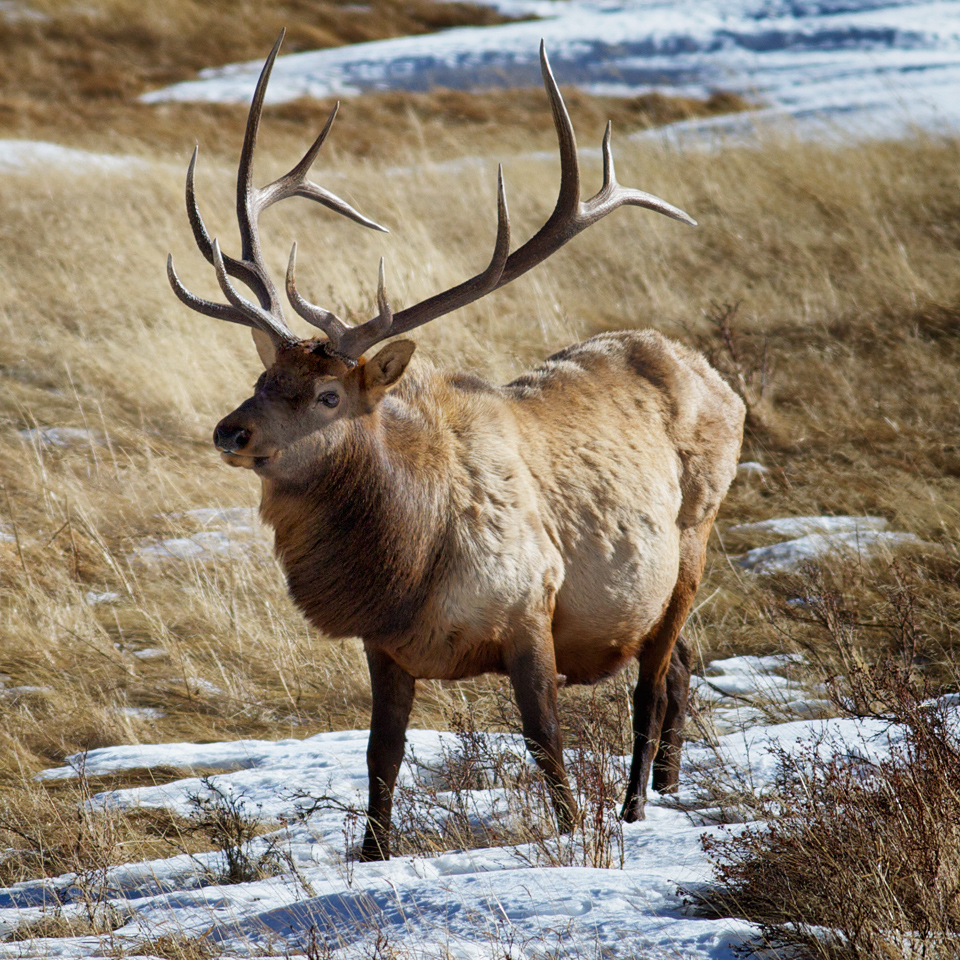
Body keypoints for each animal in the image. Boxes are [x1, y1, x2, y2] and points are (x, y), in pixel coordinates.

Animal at [169, 33, 748, 860]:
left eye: (328, 396)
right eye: (263, 374)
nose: (231, 430)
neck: (413, 559)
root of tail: (718, 379)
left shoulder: (530, 606)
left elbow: (546, 743)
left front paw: (574, 834)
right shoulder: (384, 645)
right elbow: (381, 755)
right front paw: (373, 854)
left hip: (693, 536)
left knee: (650, 682)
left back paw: (637, 805)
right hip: (655, 585)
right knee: (681, 665)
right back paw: (667, 788)